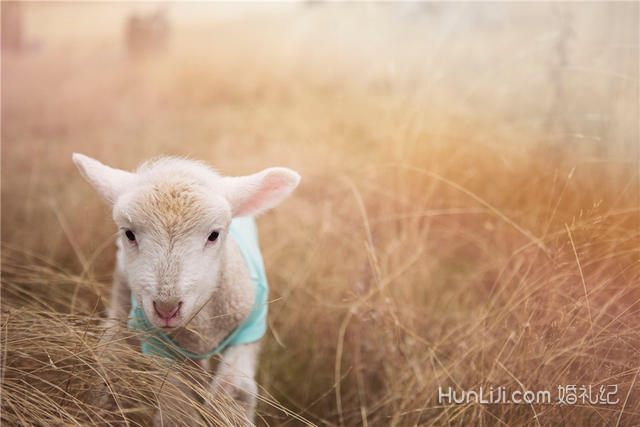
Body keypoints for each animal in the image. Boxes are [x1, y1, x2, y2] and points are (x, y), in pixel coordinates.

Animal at [71, 153, 302, 424]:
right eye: (129, 234)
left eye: (214, 235)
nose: (166, 308)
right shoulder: (163, 346)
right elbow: (176, 410)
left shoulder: (249, 329)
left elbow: (235, 393)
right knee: (113, 352)